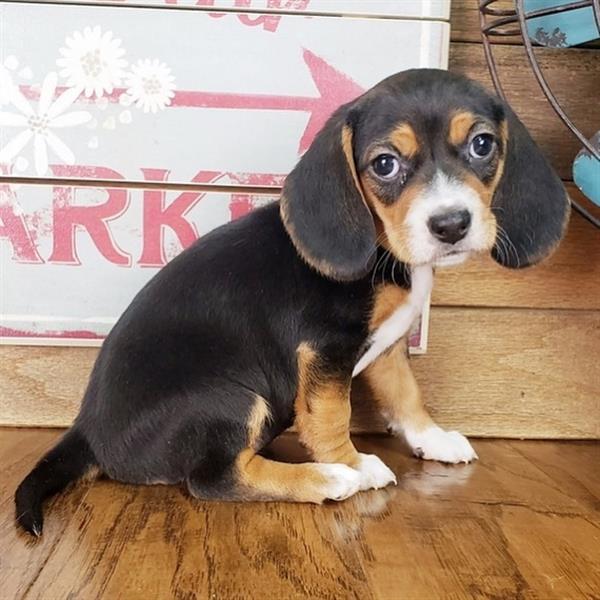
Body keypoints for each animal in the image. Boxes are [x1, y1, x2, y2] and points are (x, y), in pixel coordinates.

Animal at [14, 69, 568, 536]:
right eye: (385, 164)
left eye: (482, 144)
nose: (450, 223)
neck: (386, 252)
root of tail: (86, 432)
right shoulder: (322, 350)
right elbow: (332, 415)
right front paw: (351, 463)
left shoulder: (389, 348)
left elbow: (407, 396)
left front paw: (431, 439)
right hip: (229, 397)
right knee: (214, 480)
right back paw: (327, 479)